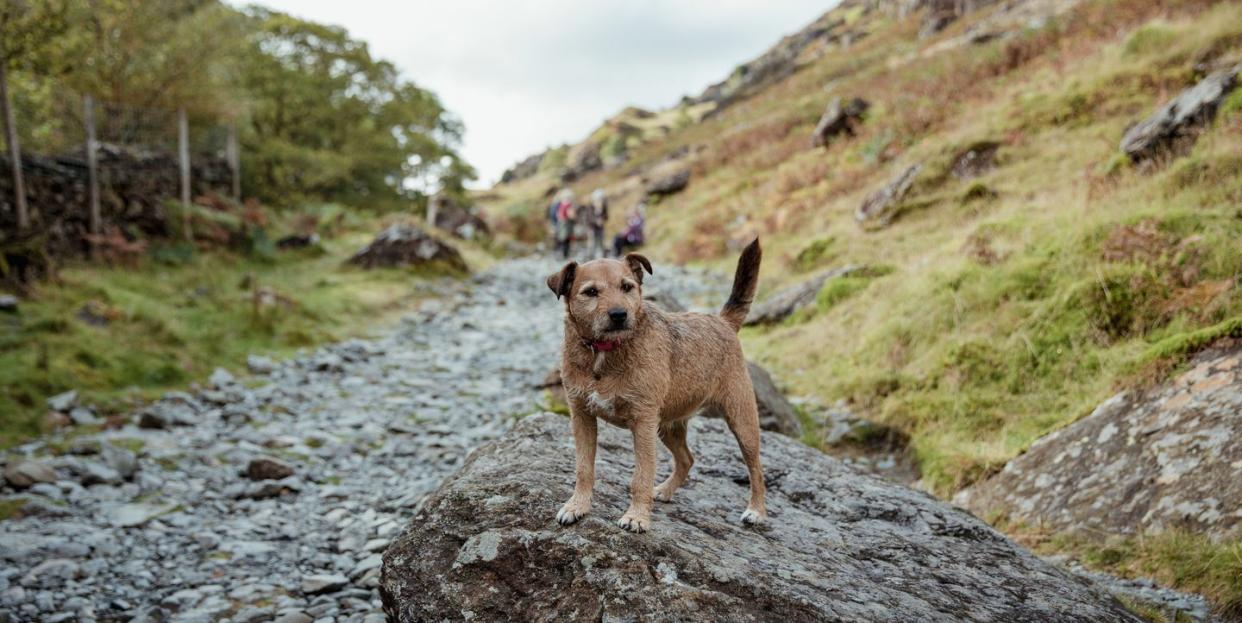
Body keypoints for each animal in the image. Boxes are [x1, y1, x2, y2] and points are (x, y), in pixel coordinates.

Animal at [546, 238, 765, 531]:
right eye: (591, 292)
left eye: (627, 287)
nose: (619, 314)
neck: (605, 352)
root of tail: (722, 321)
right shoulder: (582, 417)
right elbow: (584, 468)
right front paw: (577, 506)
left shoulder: (643, 423)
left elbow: (641, 476)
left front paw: (637, 516)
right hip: (667, 426)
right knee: (687, 459)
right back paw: (665, 490)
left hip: (742, 421)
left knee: (756, 469)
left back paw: (756, 511)